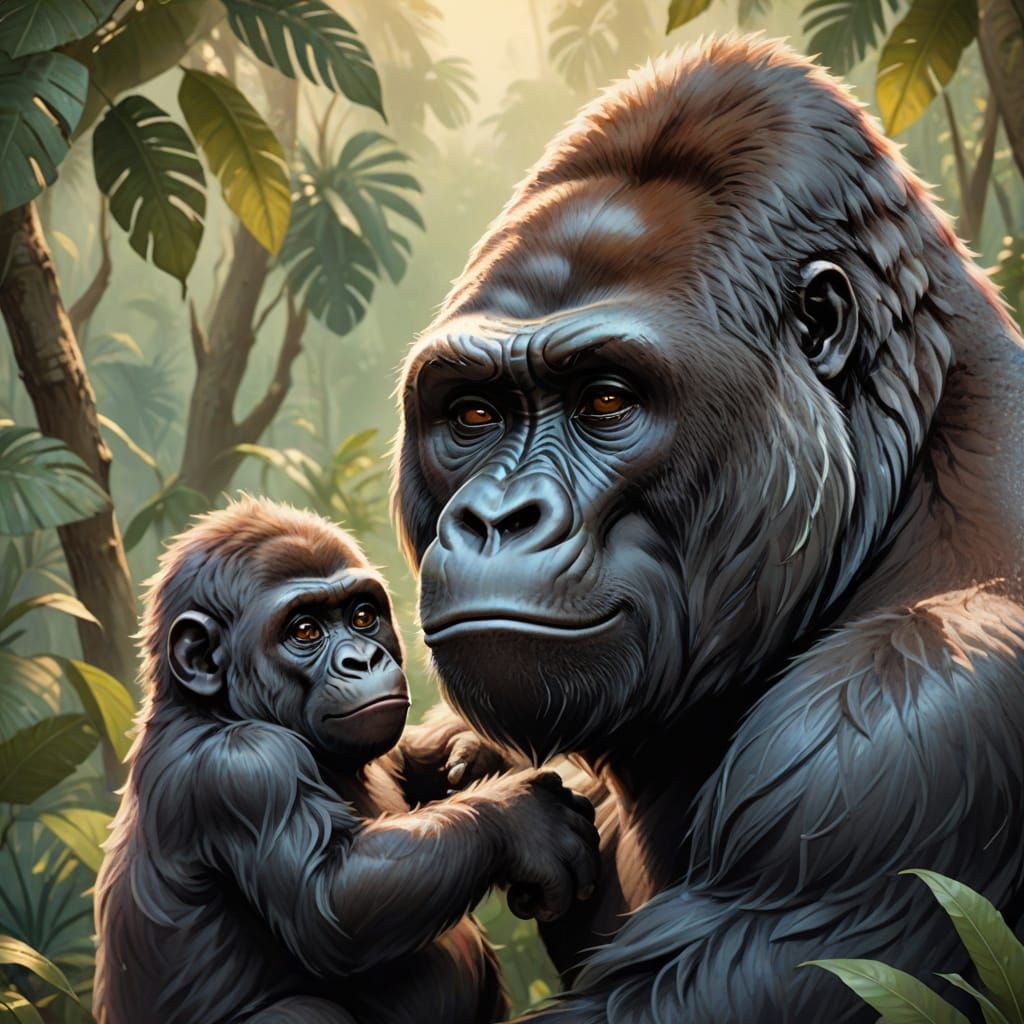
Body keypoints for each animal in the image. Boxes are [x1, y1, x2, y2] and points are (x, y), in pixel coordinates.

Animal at [93, 496, 600, 1024]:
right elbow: (332, 902)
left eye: (361, 617)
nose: (363, 659)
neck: (210, 707)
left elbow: (405, 762)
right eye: (305, 630)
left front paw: (475, 752)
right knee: (302, 1010)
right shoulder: (247, 767)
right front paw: (522, 820)